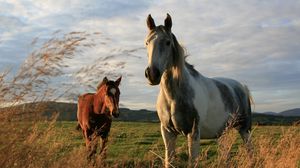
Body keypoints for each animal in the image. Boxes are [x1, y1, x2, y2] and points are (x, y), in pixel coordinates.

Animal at [144, 13, 252, 167]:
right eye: (147, 43)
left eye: (168, 42)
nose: (152, 74)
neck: (173, 97)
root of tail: (242, 87)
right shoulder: (167, 133)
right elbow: (168, 161)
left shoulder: (193, 133)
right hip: (223, 132)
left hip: (245, 129)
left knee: (250, 151)